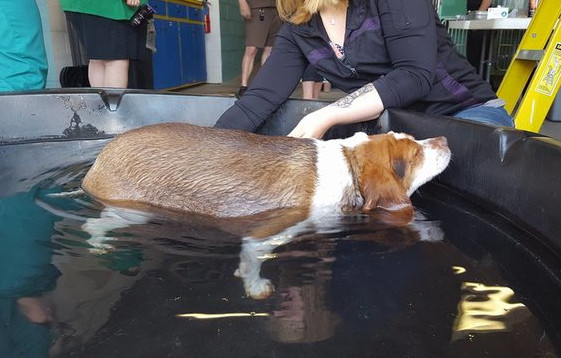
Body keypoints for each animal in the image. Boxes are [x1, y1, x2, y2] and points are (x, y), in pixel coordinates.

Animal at [82, 123, 450, 300]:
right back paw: (98, 244)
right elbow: (252, 255)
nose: (445, 140)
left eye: (415, 140)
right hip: (132, 211)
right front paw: (254, 283)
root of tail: (99, 158)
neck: (348, 163)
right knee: (92, 225)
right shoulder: (277, 225)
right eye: (416, 153)